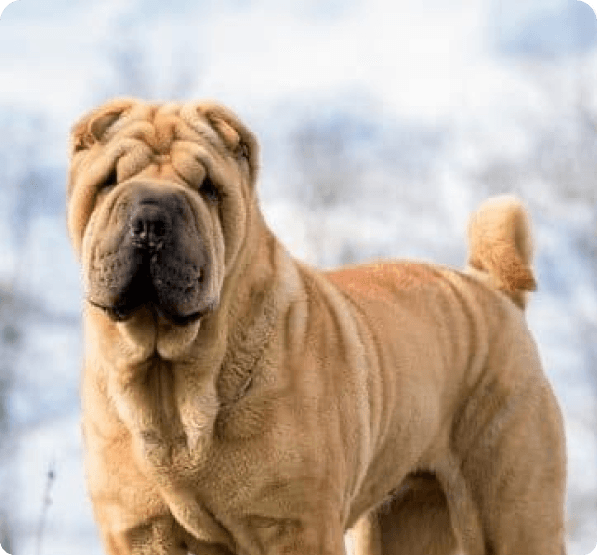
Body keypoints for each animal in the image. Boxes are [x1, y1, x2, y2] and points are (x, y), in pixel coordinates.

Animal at [68, 97, 568, 552]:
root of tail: (494, 289)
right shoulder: (139, 531)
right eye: (110, 181)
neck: (174, 384)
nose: (152, 217)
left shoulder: (296, 525)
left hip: (516, 512)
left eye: (208, 187)